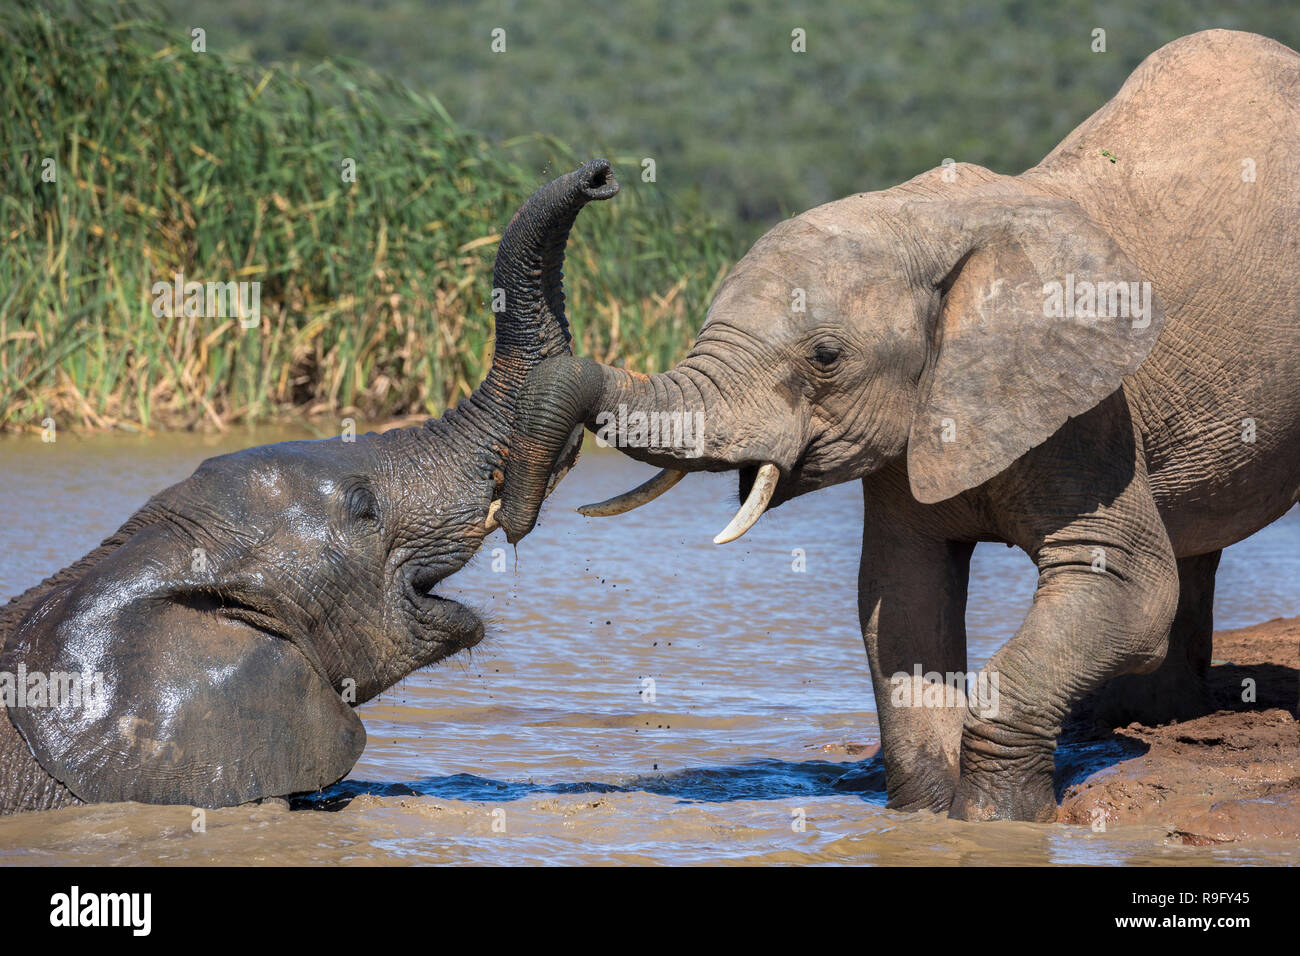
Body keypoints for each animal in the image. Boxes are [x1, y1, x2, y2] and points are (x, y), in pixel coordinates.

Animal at [496, 29, 1300, 822]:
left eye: (825, 358)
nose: (601, 174)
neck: (928, 220)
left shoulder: (1091, 411)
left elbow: (1124, 583)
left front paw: (998, 821)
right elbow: (901, 601)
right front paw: (926, 816)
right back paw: (1147, 716)